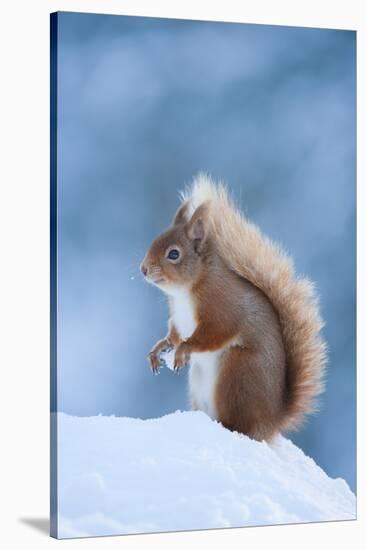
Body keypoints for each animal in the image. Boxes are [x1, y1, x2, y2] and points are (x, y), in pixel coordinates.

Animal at [142, 175, 328, 442]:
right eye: (154, 241)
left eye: (174, 254)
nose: (143, 269)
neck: (185, 292)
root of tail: (270, 421)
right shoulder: (177, 318)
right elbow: (173, 335)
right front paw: (159, 349)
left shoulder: (221, 306)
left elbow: (215, 332)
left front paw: (183, 350)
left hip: (237, 375)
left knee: (238, 424)